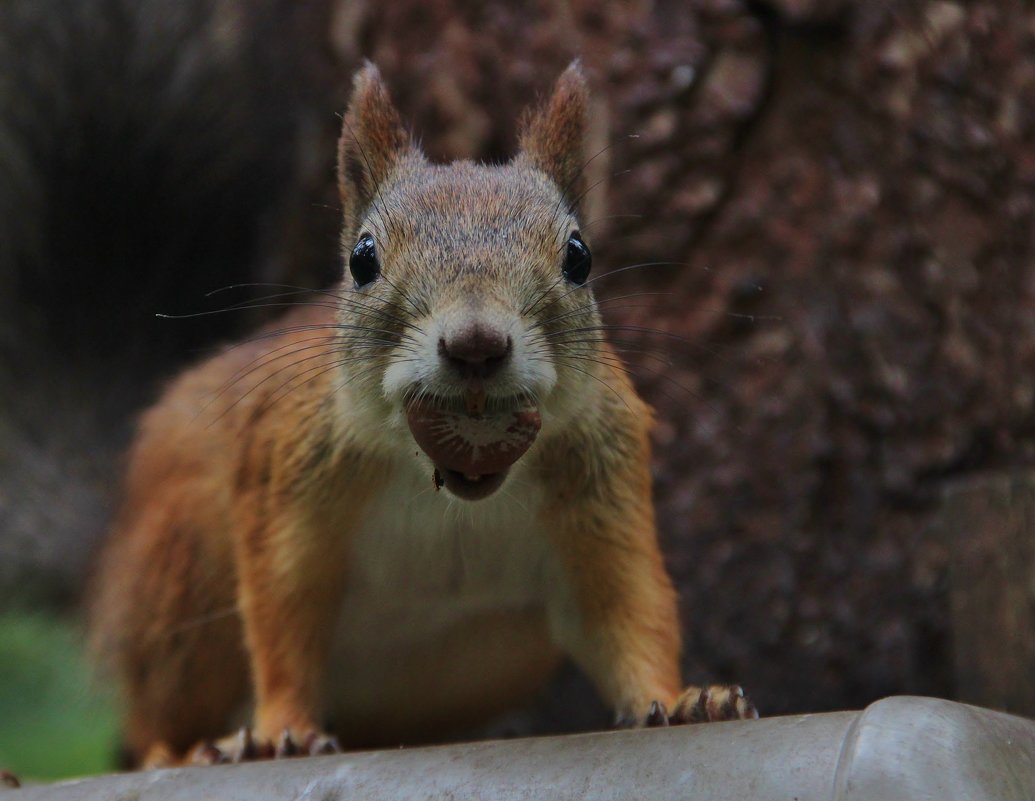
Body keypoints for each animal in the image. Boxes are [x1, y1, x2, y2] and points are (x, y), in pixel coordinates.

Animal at [89, 61, 757, 765]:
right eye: (362, 259)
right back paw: (179, 752)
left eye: (579, 256)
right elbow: (283, 614)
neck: (446, 493)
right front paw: (282, 731)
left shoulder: (602, 480)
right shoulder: (287, 475)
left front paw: (684, 701)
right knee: (156, 720)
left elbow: (626, 608)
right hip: (176, 588)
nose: (475, 343)